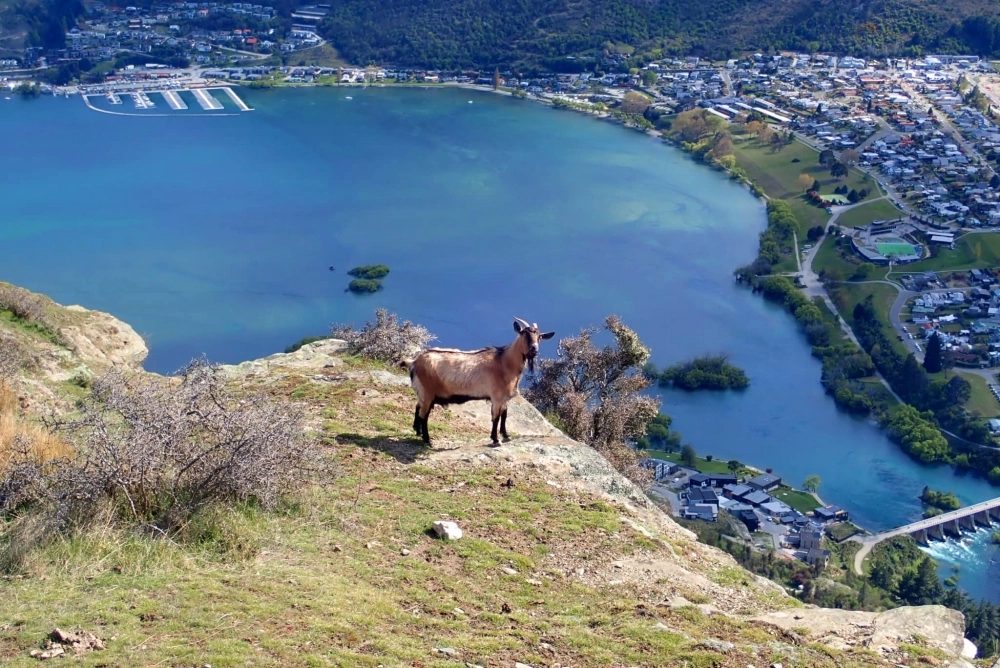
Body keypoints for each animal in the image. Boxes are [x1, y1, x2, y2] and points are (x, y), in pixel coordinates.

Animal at [398, 318, 556, 446]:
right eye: (524, 334)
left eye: (540, 337)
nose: (534, 349)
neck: (504, 362)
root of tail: (414, 362)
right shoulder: (497, 397)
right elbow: (496, 417)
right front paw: (495, 440)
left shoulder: (504, 398)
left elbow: (504, 415)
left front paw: (506, 435)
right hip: (428, 392)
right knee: (424, 415)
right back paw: (428, 440)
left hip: (423, 393)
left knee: (418, 408)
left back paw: (417, 431)